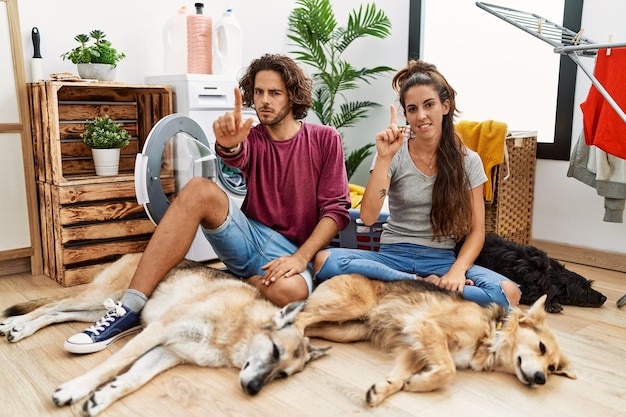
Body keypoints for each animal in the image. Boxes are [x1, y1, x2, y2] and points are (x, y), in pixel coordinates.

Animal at [294, 272, 576, 406]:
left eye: (552, 369)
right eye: (541, 347)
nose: (540, 379)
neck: (491, 332)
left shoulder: (413, 349)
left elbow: (398, 378)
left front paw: (385, 389)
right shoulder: (428, 328)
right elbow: (448, 372)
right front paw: (419, 384)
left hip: (346, 331)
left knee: (311, 326)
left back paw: (306, 348)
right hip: (351, 307)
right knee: (301, 317)